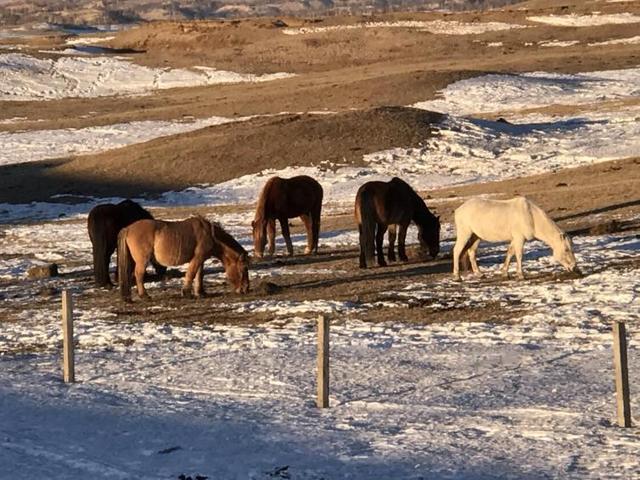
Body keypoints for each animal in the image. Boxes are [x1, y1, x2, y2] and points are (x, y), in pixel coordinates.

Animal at [117, 217, 250, 302]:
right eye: (243, 268)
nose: (245, 289)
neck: (211, 235)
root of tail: (128, 228)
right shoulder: (197, 258)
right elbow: (191, 273)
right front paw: (186, 292)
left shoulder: (201, 260)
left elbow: (199, 275)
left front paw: (200, 292)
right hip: (142, 261)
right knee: (139, 275)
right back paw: (144, 295)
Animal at [450, 196, 580, 282]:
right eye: (566, 250)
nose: (574, 268)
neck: (531, 216)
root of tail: (459, 209)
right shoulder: (519, 238)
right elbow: (519, 255)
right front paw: (521, 275)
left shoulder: (515, 239)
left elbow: (510, 253)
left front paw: (505, 273)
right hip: (465, 234)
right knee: (457, 251)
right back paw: (457, 276)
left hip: (476, 236)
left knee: (471, 252)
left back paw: (479, 274)